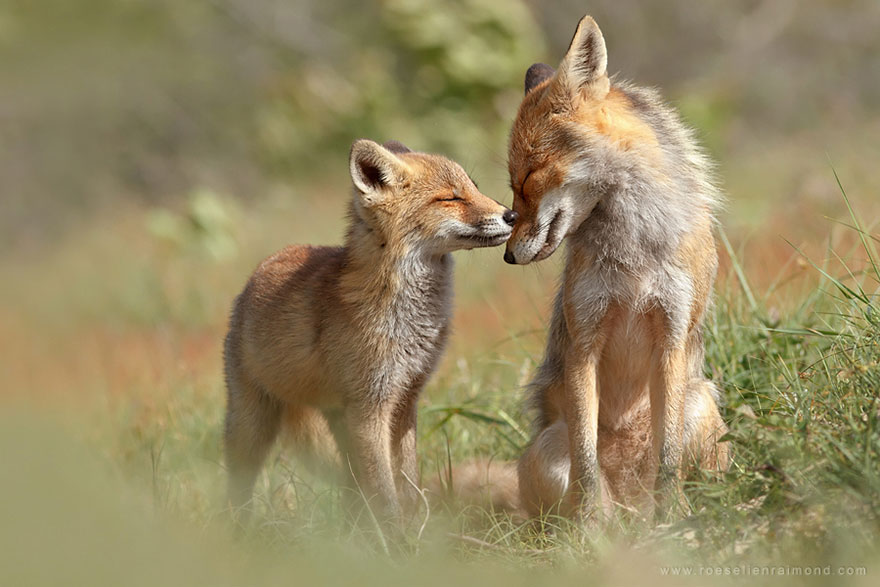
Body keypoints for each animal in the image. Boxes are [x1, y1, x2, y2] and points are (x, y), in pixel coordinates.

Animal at [223, 139, 517, 523]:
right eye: (451, 198)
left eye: (474, 188)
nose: (512, 215)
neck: (408, 319)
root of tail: (260, 269)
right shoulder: (370, 407)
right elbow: (384, 490)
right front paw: (395, 534)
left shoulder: (405, 398)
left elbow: (407, 482)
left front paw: (415, 527)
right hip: (253, 424)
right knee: (238, 483)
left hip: (338, 420)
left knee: (351, 487)